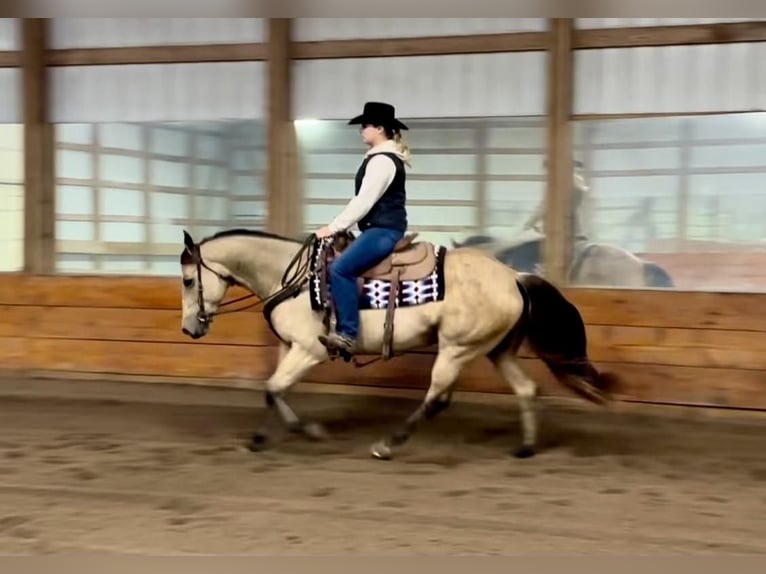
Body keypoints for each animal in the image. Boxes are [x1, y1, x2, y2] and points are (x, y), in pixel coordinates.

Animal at [178, 227, 616, 462]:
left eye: (187, 279)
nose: (188, 329)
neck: (295, 278)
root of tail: (513, 276)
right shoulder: (290, 348)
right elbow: (274, 391)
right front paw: (265, 437)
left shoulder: (309, 350)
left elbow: (274, 388)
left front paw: (310, 432)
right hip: (495, 349)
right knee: (527, 388)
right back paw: (525, 447)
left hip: (456, 349)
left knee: (437, 398)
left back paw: (387, 445)